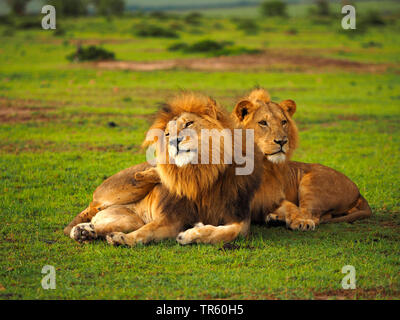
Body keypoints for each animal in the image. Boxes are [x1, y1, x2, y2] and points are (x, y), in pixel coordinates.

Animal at [64, 92, 264, 245]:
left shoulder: (239, 216)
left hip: (129, 219)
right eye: (167, 134)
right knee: (88, 211)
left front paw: (190, 234)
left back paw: (85, 232)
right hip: (123, 191)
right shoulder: (170, 218)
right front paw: (123, 239)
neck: (201, 173)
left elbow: (230, 232)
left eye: (189, 123)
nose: (174, 141)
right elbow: (147, 231)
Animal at [233, 87, 374, 230]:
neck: (262, 165)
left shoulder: (271, 198)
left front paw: (299, 220)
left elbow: (292, 207)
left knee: (313, 215)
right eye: (262, 123)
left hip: (311, 184)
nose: (282, 141)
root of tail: (358, 192)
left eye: (283, 122)